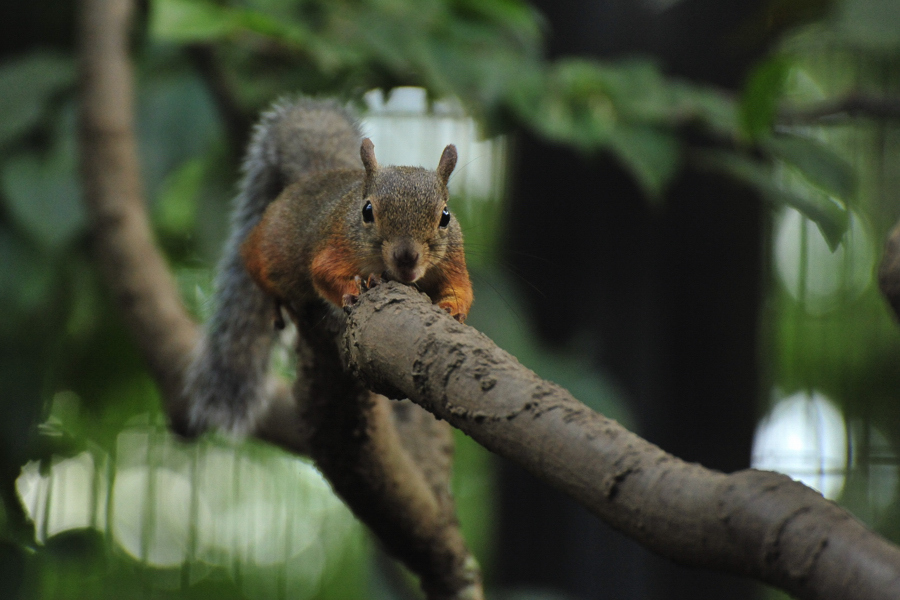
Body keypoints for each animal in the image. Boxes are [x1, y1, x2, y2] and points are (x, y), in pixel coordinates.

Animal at [186, 98, 474, 436]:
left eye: (445, 216)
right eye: (367, 211)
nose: (407, 257)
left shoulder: (453, 259)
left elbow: (462, 289)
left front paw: (452, 308)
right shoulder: (336, 246)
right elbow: (324, 274)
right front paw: (357, 287)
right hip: (271, 251)